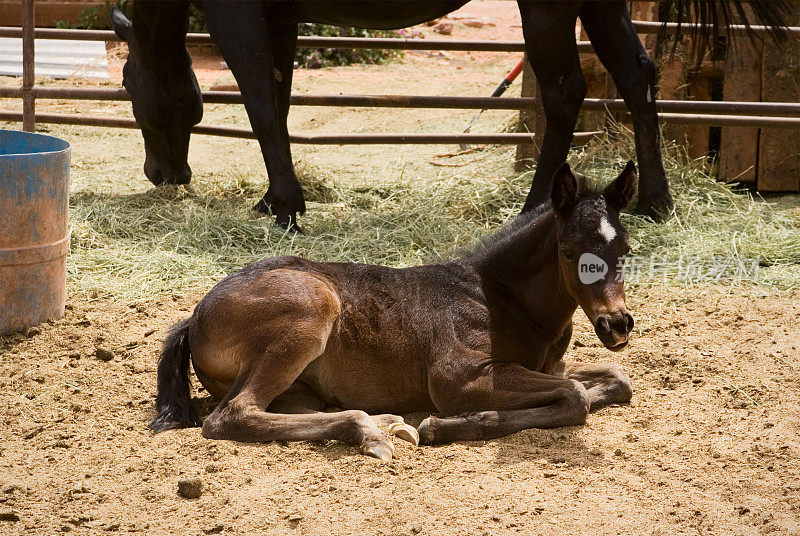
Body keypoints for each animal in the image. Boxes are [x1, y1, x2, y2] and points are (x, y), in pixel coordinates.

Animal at [109, 0, 792, 227]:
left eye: (123, 79)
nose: (159, 173)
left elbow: (256, 94)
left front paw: (286, 205)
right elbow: (277, 92)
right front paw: (276, 196)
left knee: (564, 89)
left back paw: (536, 204)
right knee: (636, 75)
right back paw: (654, 201)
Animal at [148, 162, 636, 460]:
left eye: (627, 250)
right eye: (569, 251)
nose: (616, 325)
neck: (502, 298)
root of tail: (194, 318)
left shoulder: (550, 366)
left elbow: (616, 379)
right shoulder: (460, 378)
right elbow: (575, 397)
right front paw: (449, 425)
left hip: (301, 386)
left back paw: (386, 423)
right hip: (312, 308)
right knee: (232, 415)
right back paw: (371, 432)